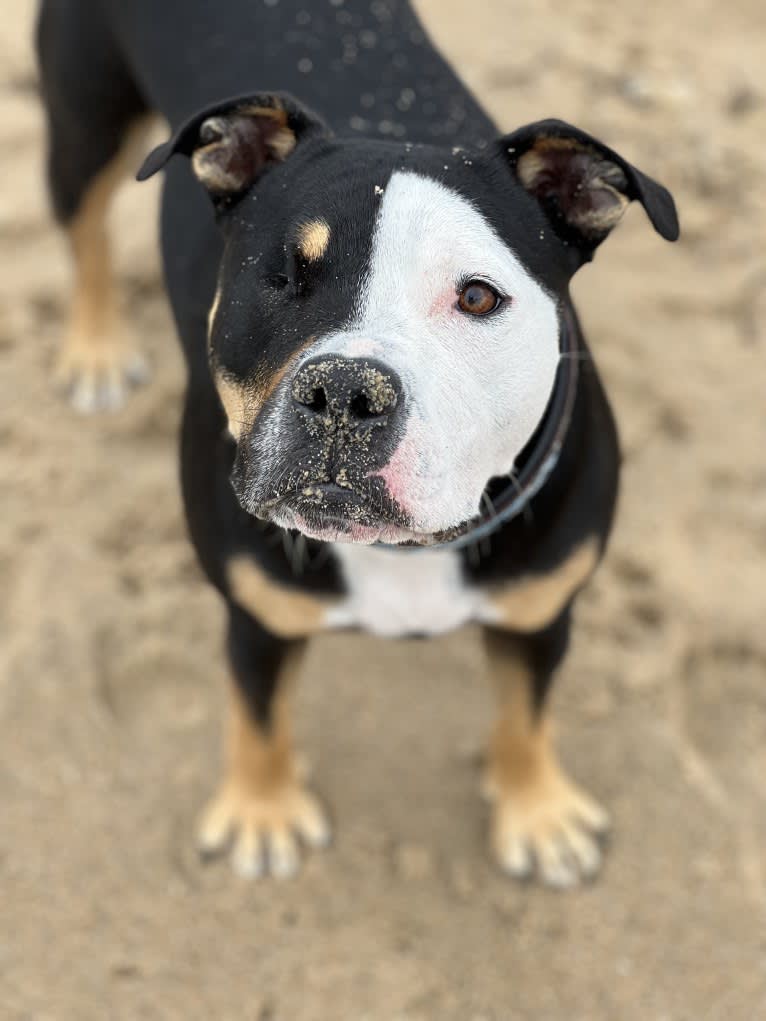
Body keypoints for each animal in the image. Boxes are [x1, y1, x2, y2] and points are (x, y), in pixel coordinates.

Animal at [39, 0, 682, 886]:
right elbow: (258, 712)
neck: (404, 550)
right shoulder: (257, 613)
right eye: (280, 276)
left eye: (478, 297)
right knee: (86, 231)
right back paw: (95, 348)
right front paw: (263, 812)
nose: (344, 390)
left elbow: (526, 711)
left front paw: (538, 812)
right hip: (83, 124)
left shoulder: (541, 610)